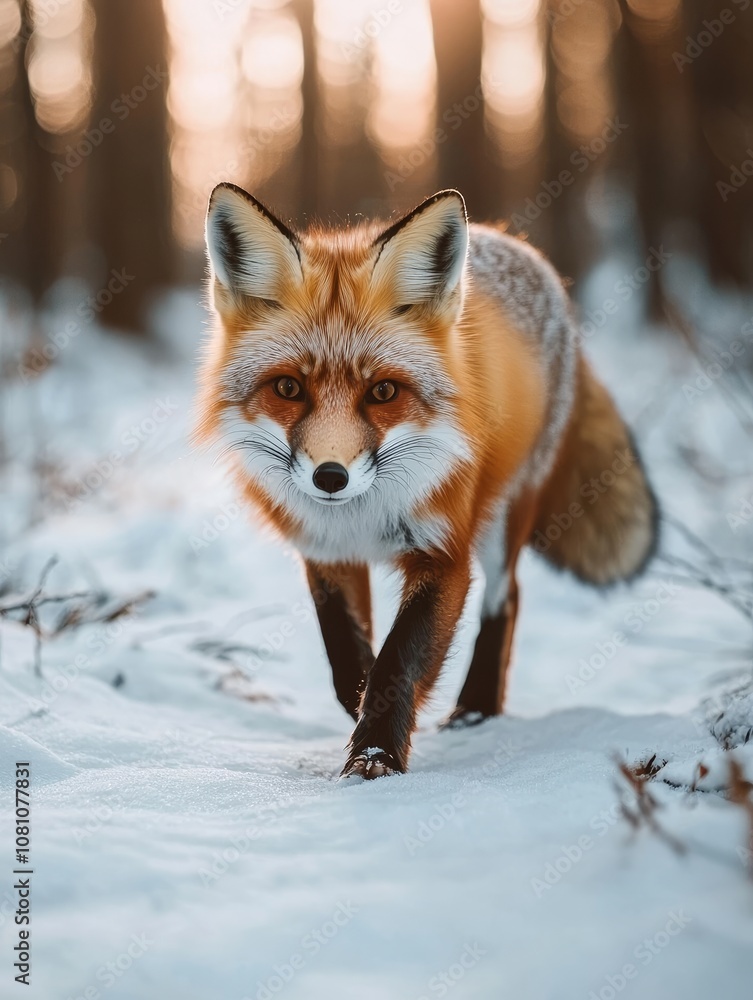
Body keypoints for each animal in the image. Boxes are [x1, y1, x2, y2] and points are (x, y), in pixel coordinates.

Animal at [196, 184, 659, 780]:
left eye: (384, 393)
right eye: (288, 388)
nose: (330, 477)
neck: (362, 516)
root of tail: (517, 245)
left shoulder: (443, 552)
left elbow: (397, 663)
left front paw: (375, 757)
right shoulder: (325, 552)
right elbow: (348, 659)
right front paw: (364, 715)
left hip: (503, 517)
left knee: (507, 597)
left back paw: (476, 710)